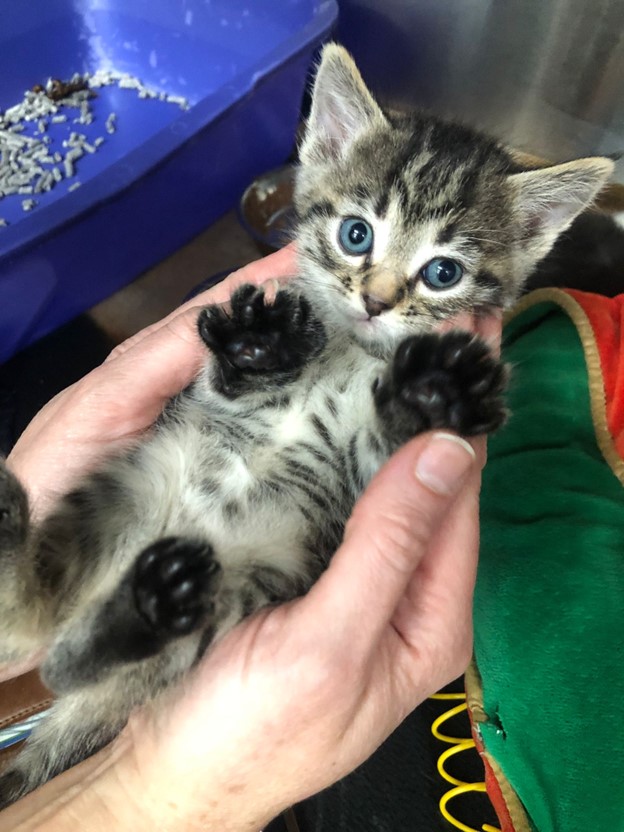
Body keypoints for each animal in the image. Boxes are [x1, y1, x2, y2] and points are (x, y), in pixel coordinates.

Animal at [0, 45, 616, 808]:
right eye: (356, 234)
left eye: (443, 273)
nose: (377, 300)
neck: (350, 350)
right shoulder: (206, 402)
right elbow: (226, 383)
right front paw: (258, 346)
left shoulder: (357, 475)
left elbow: (383, 439)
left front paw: (433, 391)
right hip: (132, 484)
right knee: (37, 625)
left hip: (248, 585)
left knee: (69, 660)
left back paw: (146, 607)